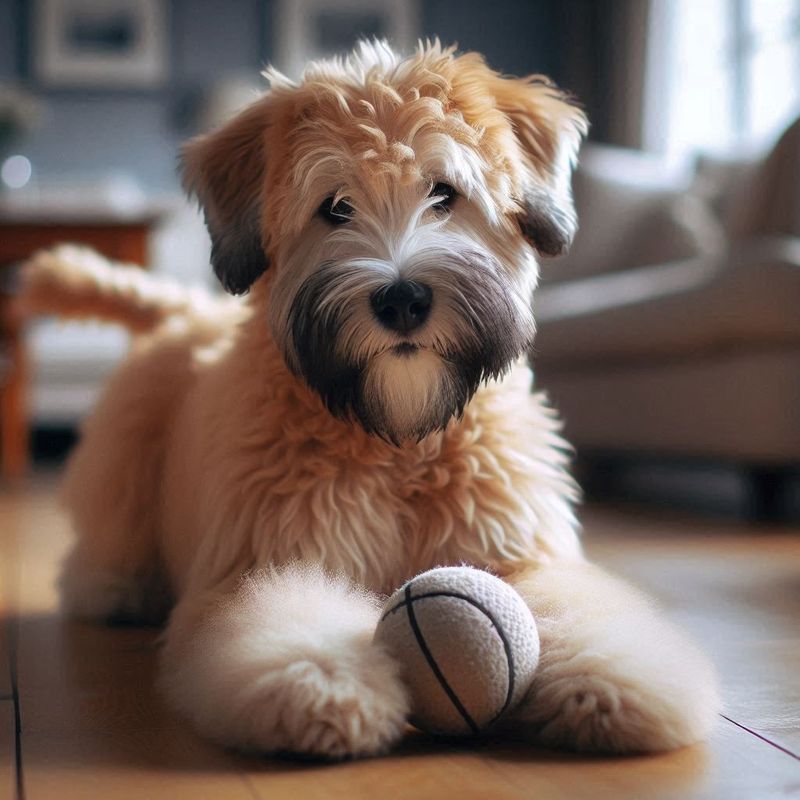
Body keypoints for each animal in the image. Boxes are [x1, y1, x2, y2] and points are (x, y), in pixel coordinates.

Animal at [18, 42, 720, 756]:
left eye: (444, 192)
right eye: (335, 207)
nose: (402, 299)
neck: (399, 442)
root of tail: (189, 311)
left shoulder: (519, 554)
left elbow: (578, 607)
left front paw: (611, 681)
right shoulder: (264, 563)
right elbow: (283, 616)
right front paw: (324, 684)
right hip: (126, 457)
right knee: (109, 534)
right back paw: (116, 588)